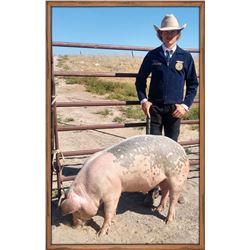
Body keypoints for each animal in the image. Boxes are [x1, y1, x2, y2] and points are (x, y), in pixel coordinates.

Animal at [60, 135, 189, 234]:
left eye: (77, 211)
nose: (73, 226)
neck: (90, 190)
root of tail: (182, 150)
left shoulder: (113, 194)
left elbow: (108, 212)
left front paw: (100, 233)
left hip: (177, 176)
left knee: (173, 198)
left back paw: (167, 221)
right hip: (163, 179)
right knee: (165, 191)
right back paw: (158, 209)